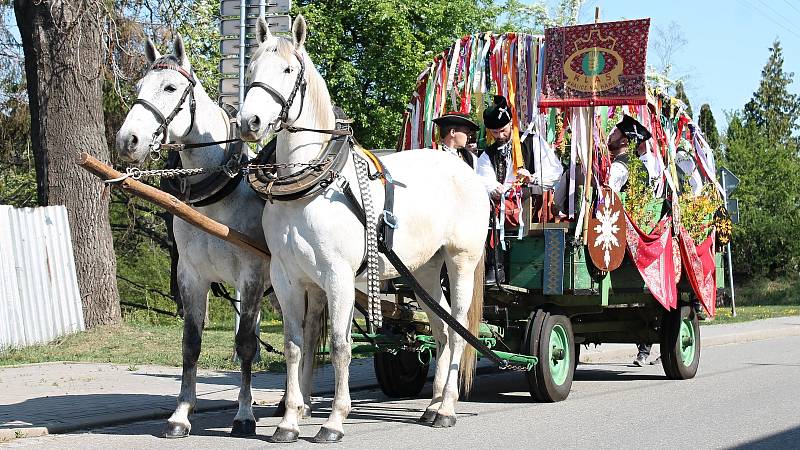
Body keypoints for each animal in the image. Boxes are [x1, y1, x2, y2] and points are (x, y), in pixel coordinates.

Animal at [113, 37, 324, 438]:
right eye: (137, 88)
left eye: (171, 87)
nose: (127, 140)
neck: (217, 193)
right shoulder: (191, 275)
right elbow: (191, 343)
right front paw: (181, 413)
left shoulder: (252, 275)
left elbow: (246, 343)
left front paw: (244, 414)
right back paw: (294, 402)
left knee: (306, 332)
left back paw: (298, 403)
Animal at [238, 14, 488, 442]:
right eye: (251, 67)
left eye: (287, 70)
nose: (249, 122)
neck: (311, 186)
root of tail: (465, 169)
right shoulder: (287, 277)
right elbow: (294, 345)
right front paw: (288, 422)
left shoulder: (336, 276)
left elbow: (340, 345)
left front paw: (334, 421)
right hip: (423, 270)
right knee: (439, 327)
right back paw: (433, 404)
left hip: (461, 262)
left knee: (457, 330)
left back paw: (448, 409)